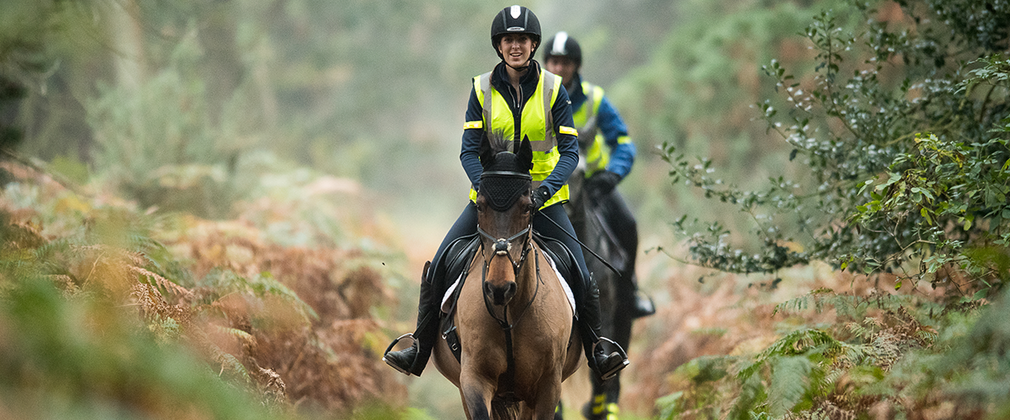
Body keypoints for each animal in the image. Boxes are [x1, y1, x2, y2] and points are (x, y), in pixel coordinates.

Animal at [430, 136, 581, 417]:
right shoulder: (474, 380)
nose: (499, 288)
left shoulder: (548, 389)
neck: (510, 312)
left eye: (528, 207)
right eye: (480, 206)